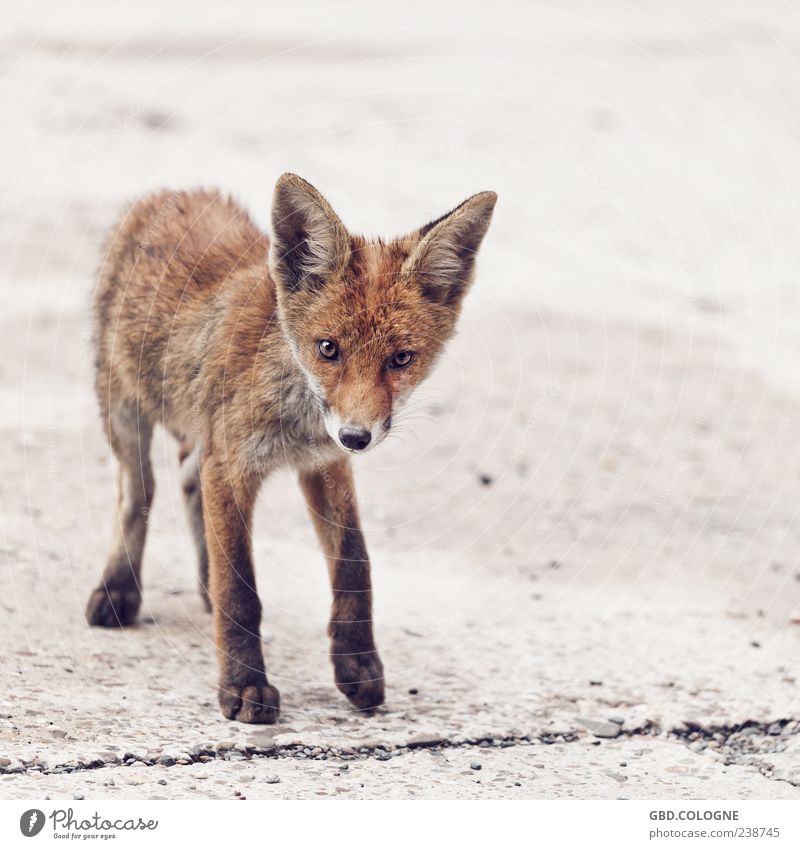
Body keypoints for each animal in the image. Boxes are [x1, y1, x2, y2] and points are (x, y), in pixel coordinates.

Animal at [83, 172, 494, 724]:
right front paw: (244, 686)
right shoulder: (232, 464)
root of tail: (173, 191)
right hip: (124, 409)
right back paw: (118, 589)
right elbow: (241, 590)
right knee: (137, 493)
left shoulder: (324, 463)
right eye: (328, 349)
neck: (294, 413)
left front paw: (356, 664)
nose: (357, 436)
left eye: (401, 359)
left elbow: (355, 565)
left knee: (189, 482)